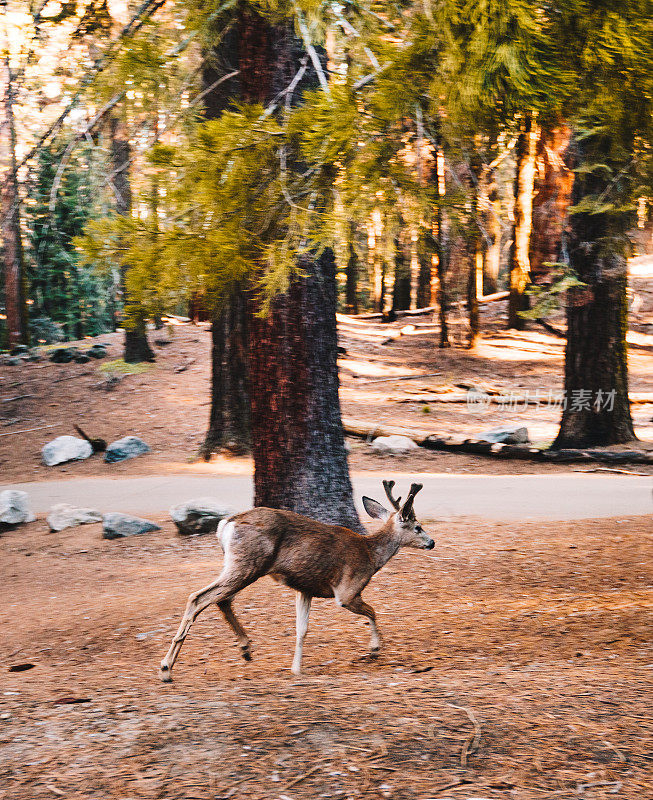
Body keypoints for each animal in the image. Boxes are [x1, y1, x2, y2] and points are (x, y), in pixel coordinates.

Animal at [159, 482, 432, 680]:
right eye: (417, 527)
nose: (432, 542)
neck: (371, 555)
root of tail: (226, 524)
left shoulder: (305, 588)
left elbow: (302, 629)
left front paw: (297, 669)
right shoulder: (347, 590)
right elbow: (373, 612)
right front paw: (375, 648)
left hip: (238, 565)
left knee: (221, 600)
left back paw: (246, 649)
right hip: (248, 564)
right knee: (199, 597)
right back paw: (166, 669)